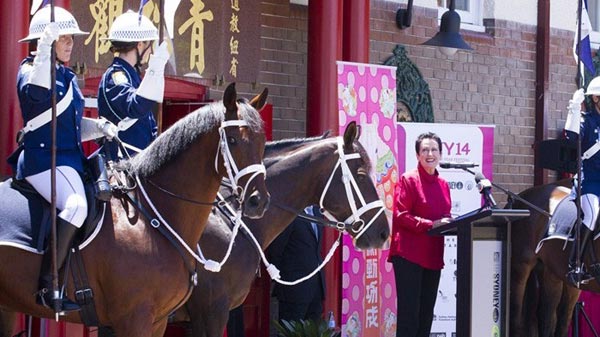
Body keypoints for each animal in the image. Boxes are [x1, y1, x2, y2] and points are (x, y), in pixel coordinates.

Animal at [0, 83, 268, 336]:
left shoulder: (159, 321)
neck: (153, 217)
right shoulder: (135, 318)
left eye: (262, 141)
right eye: (232, 140)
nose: (258, 201)